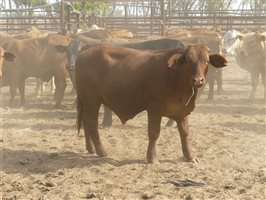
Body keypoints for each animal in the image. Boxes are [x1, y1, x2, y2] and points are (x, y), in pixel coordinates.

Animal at [75, 43, 227, 162]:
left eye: (206, 61)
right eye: (188, 60)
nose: (198, 80)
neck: (175, 76)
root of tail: (84, 51)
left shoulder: (182, 110)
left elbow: (184, 133)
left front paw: (190, 156)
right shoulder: (154, 108)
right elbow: (154, 133)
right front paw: (152, 158)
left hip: (87, 102)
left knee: (86, 122)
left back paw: (91, 149)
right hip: (92, 100)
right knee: (92, 124)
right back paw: (102, 151)